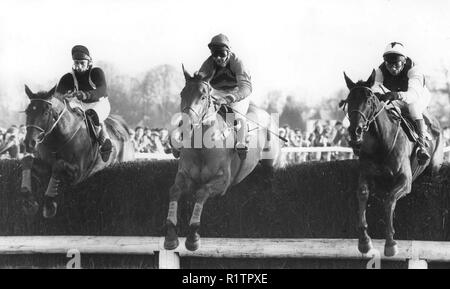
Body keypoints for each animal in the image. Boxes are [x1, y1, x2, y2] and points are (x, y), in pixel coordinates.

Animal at [21, 84, 134, 217]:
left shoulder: (79, 173)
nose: (29, 143)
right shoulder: (45, 164)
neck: (61, 137)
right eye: (28, 111)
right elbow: (27, 160)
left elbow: (58, 165)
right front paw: (27, 198)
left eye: (46, 112)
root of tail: (123, 128)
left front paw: (49, 203)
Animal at [163, 67, 280, 250]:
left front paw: (193, 237)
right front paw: (170, 236)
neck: (201, 148)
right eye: (182, 94)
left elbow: (202, 192)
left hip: (271, 165)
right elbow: (174, 190)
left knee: (270, 184)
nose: (186, 126)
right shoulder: (185, 175)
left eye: (203, 96)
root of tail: (267, 115)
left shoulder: (223, 181)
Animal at [342, 70, 442, 256]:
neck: (383, 142)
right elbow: (362, 194)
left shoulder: (405, 181)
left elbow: (389, 201)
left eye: (369, 100)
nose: (355, 131)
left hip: (435, 166)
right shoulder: (366, 174)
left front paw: (390, 243)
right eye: (348, 100)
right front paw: (364, 241)